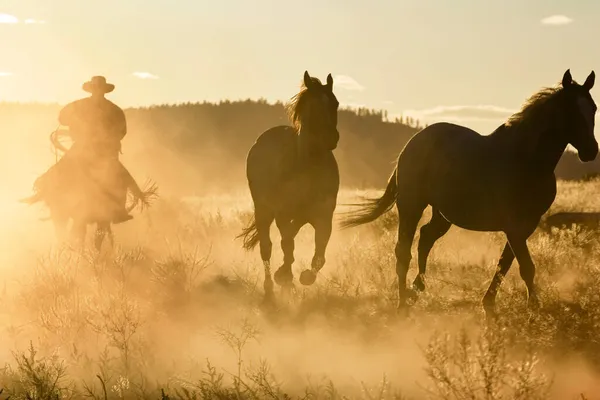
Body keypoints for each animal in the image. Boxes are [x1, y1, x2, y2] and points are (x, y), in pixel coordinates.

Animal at [239, 71, 342, 304]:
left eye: (335, 103)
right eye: (313, 107)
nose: (331, 138)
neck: (308, 166)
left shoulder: (323, 216)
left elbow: (319, 254)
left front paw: (304, 277)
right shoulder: (283, 213)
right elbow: (287, 244)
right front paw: (284, 276)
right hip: (263, 211)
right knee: (267, 247)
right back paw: (270, 287)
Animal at [340, 70, 596, 318]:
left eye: (593, 108)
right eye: (571, 110)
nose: (591, 151)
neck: (526, 160)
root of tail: (411, 144)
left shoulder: (526, 225)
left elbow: (505, 264)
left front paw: (490, 304)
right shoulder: (514, 225)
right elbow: (525, 266)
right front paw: (534, 310)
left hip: (442, 214)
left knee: (425, 237)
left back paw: (417, 288)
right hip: (411, 205)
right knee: (403, 250)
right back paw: (403, 304)